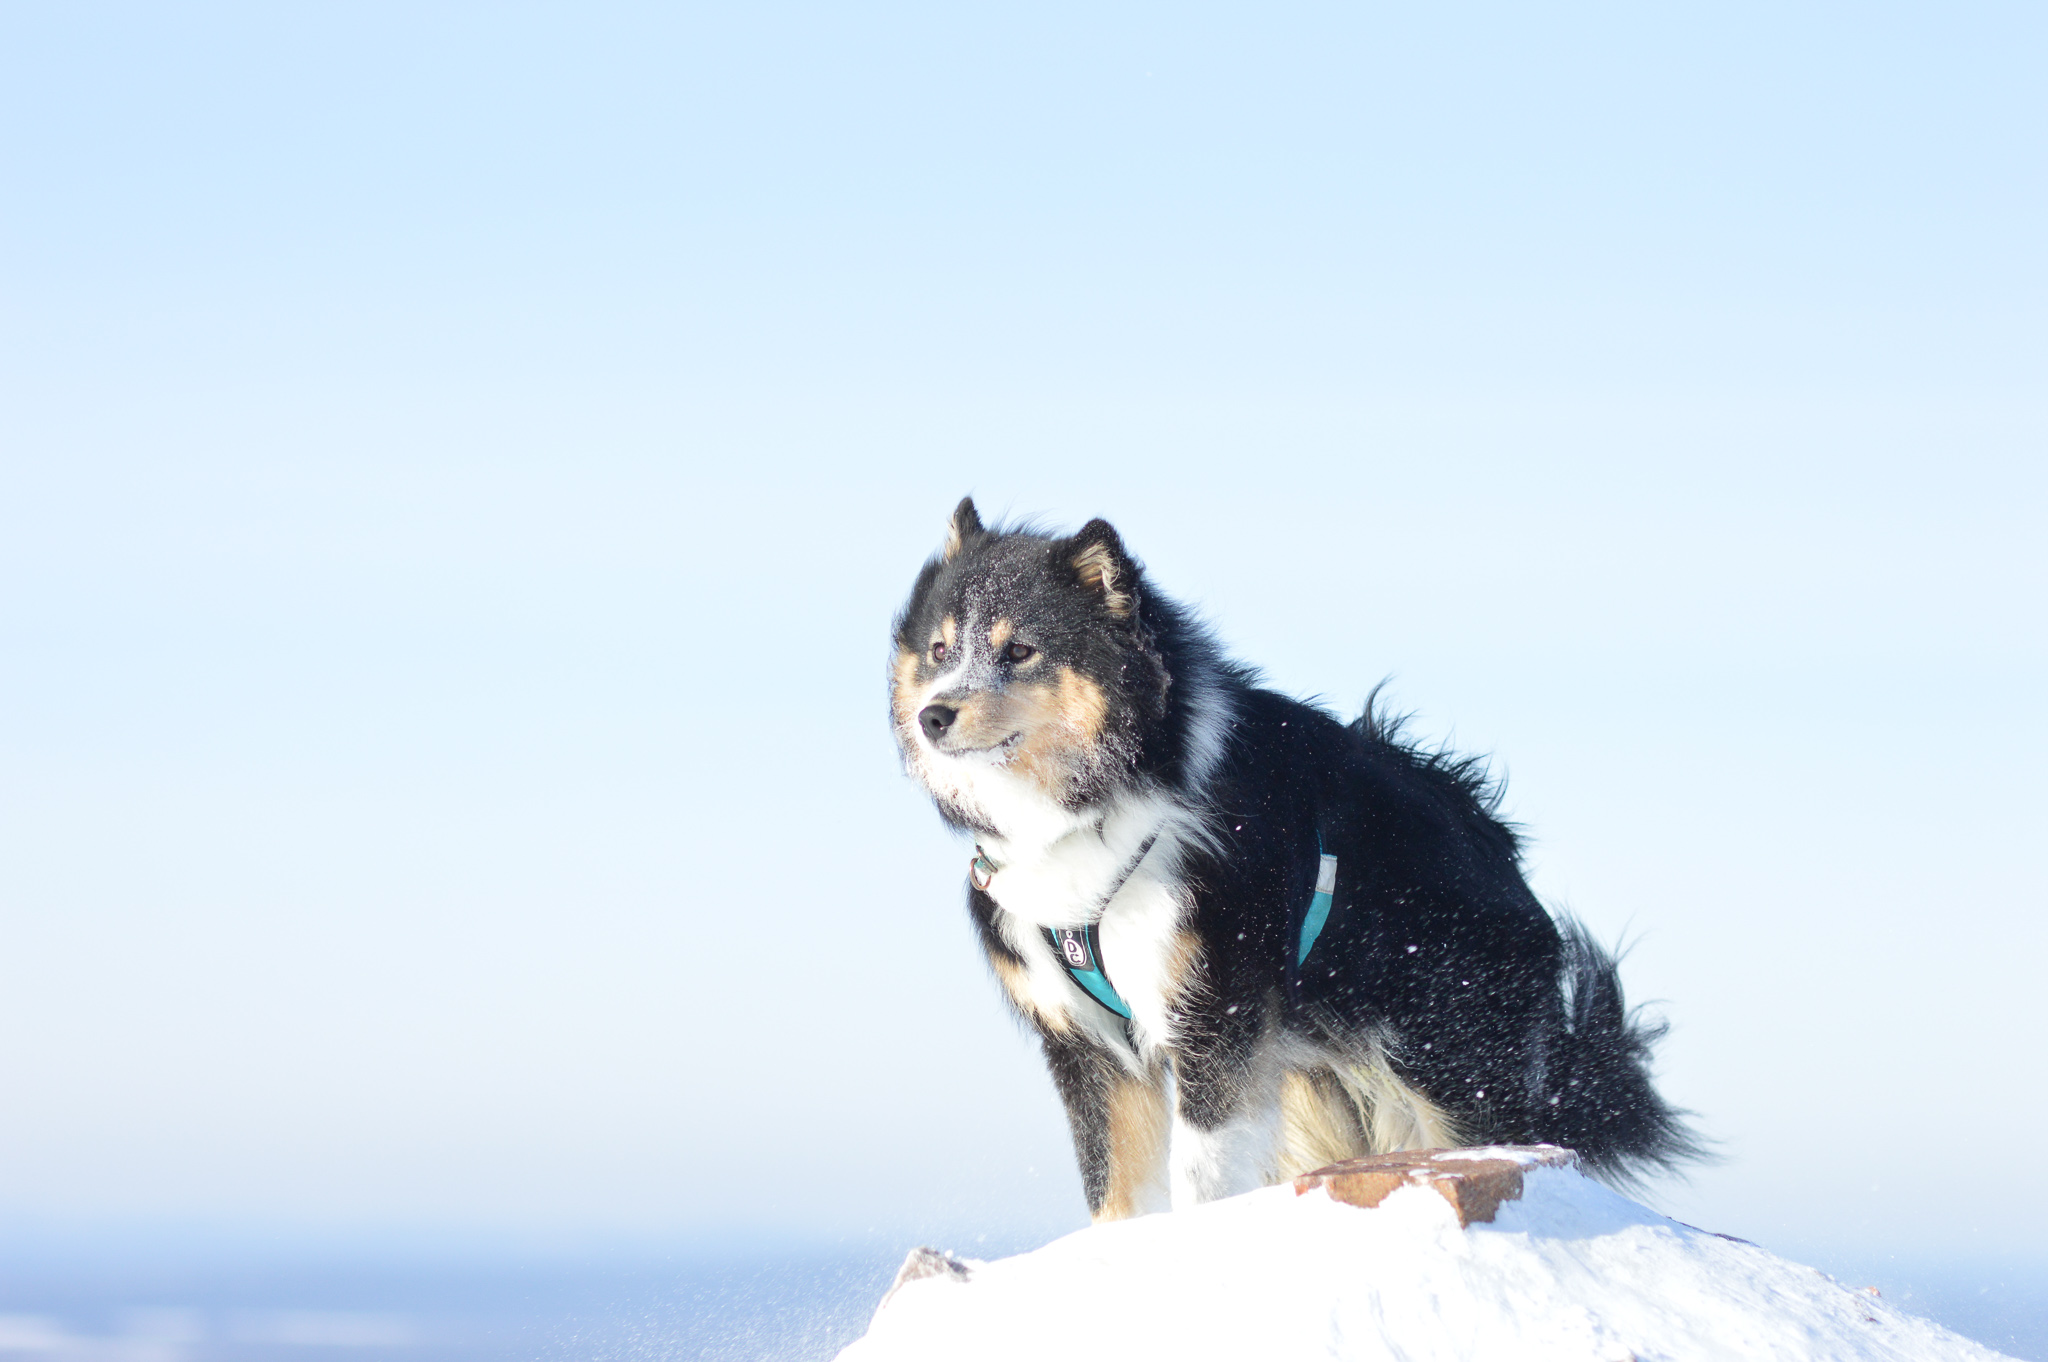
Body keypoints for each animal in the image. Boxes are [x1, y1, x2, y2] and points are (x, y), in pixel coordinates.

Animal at [888, 501, 1703, 1220]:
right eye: (940, 649)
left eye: (1020, 651)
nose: (933, 717)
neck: (1105, 806)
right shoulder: (1086, 1047)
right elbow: (1113, 1193)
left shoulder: (1214, 1014)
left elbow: (1201, 1173)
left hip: (1448, 1066)